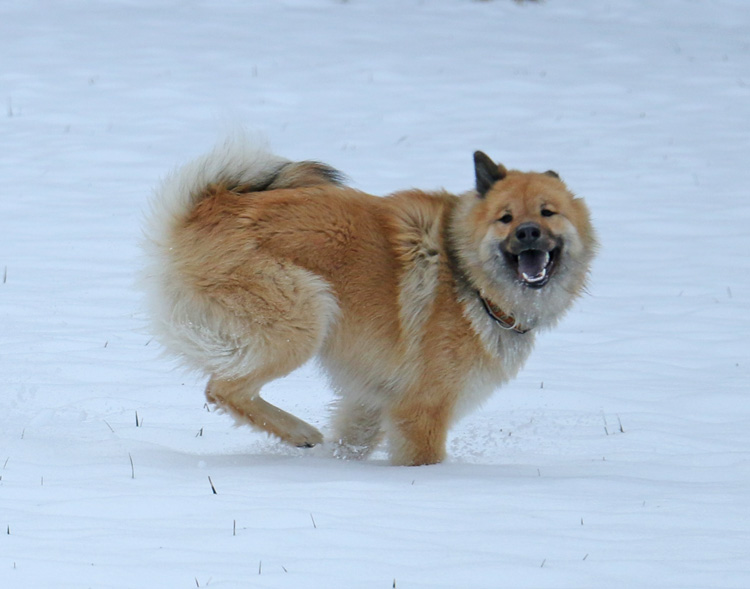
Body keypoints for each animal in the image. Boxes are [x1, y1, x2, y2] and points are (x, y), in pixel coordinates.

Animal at [142, 138, 600, 464]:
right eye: (505, 218)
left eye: (547, 212)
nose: (527, 233)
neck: (468, 277)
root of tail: (211, 205)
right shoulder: (422, 410)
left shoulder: (371, 400)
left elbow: (352, 442)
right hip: (306, 316)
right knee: (223, 388)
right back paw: (300, 432)